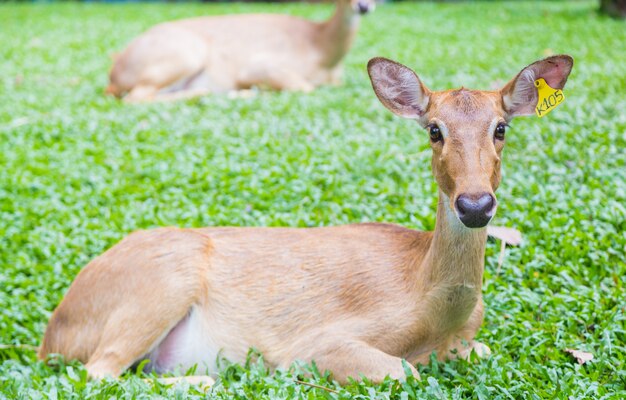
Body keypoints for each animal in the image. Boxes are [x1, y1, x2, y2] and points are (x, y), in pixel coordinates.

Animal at [39, 54, 572, 384]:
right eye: (434, 130)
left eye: (501, 127)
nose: (475, 205)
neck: (432, 312)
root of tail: (54, 334)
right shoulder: (318, 341)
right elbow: (404, 372)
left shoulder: (470, 342)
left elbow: (482, 351)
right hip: (160, 283)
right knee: (98, 371)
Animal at [105, 0, 372, 102]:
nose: (363, 6)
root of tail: (114, 74)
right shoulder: (259, 65)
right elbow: (304, 88)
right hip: (185, 54)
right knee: (135, 97)